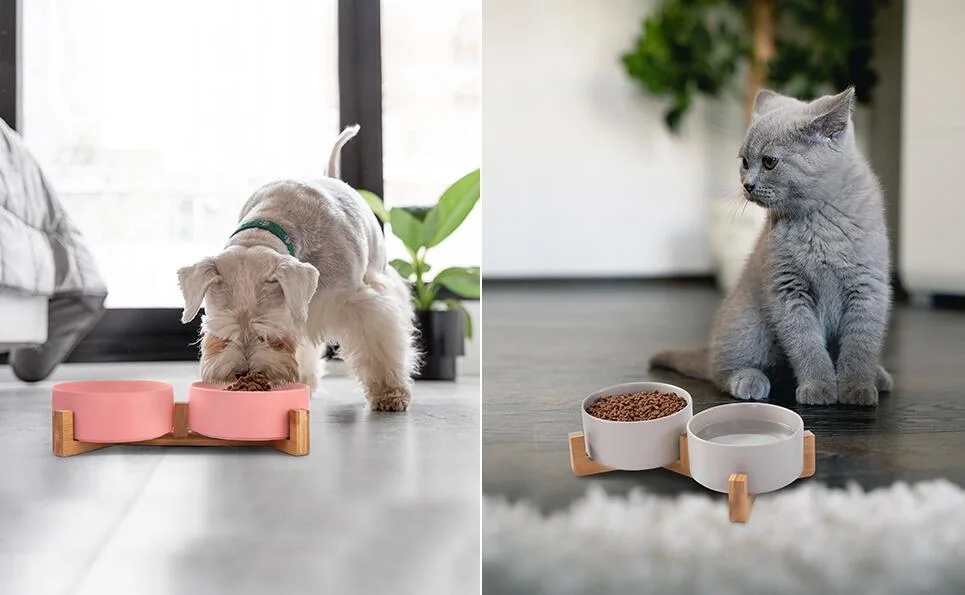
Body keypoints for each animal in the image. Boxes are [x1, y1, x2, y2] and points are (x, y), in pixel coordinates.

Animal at [177, 124, 418, 414]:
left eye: (268, 333)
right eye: (222, 333)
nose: (244, 373)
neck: (270, 224)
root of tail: (332, 176)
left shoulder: (359, 302)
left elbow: (377, 342)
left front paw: (389, 393)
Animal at [652, 87, 892, 406]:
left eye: (769, 162)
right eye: (744, 162)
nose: (748, 185)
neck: (817, 219)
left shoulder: (867, 287)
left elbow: (860, 345)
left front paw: (858, 388)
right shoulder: (787, 290)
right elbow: (806, 345)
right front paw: (819, 387)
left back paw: (878, 375)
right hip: (747, 324)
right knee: (723, 370)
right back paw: (749, 380)